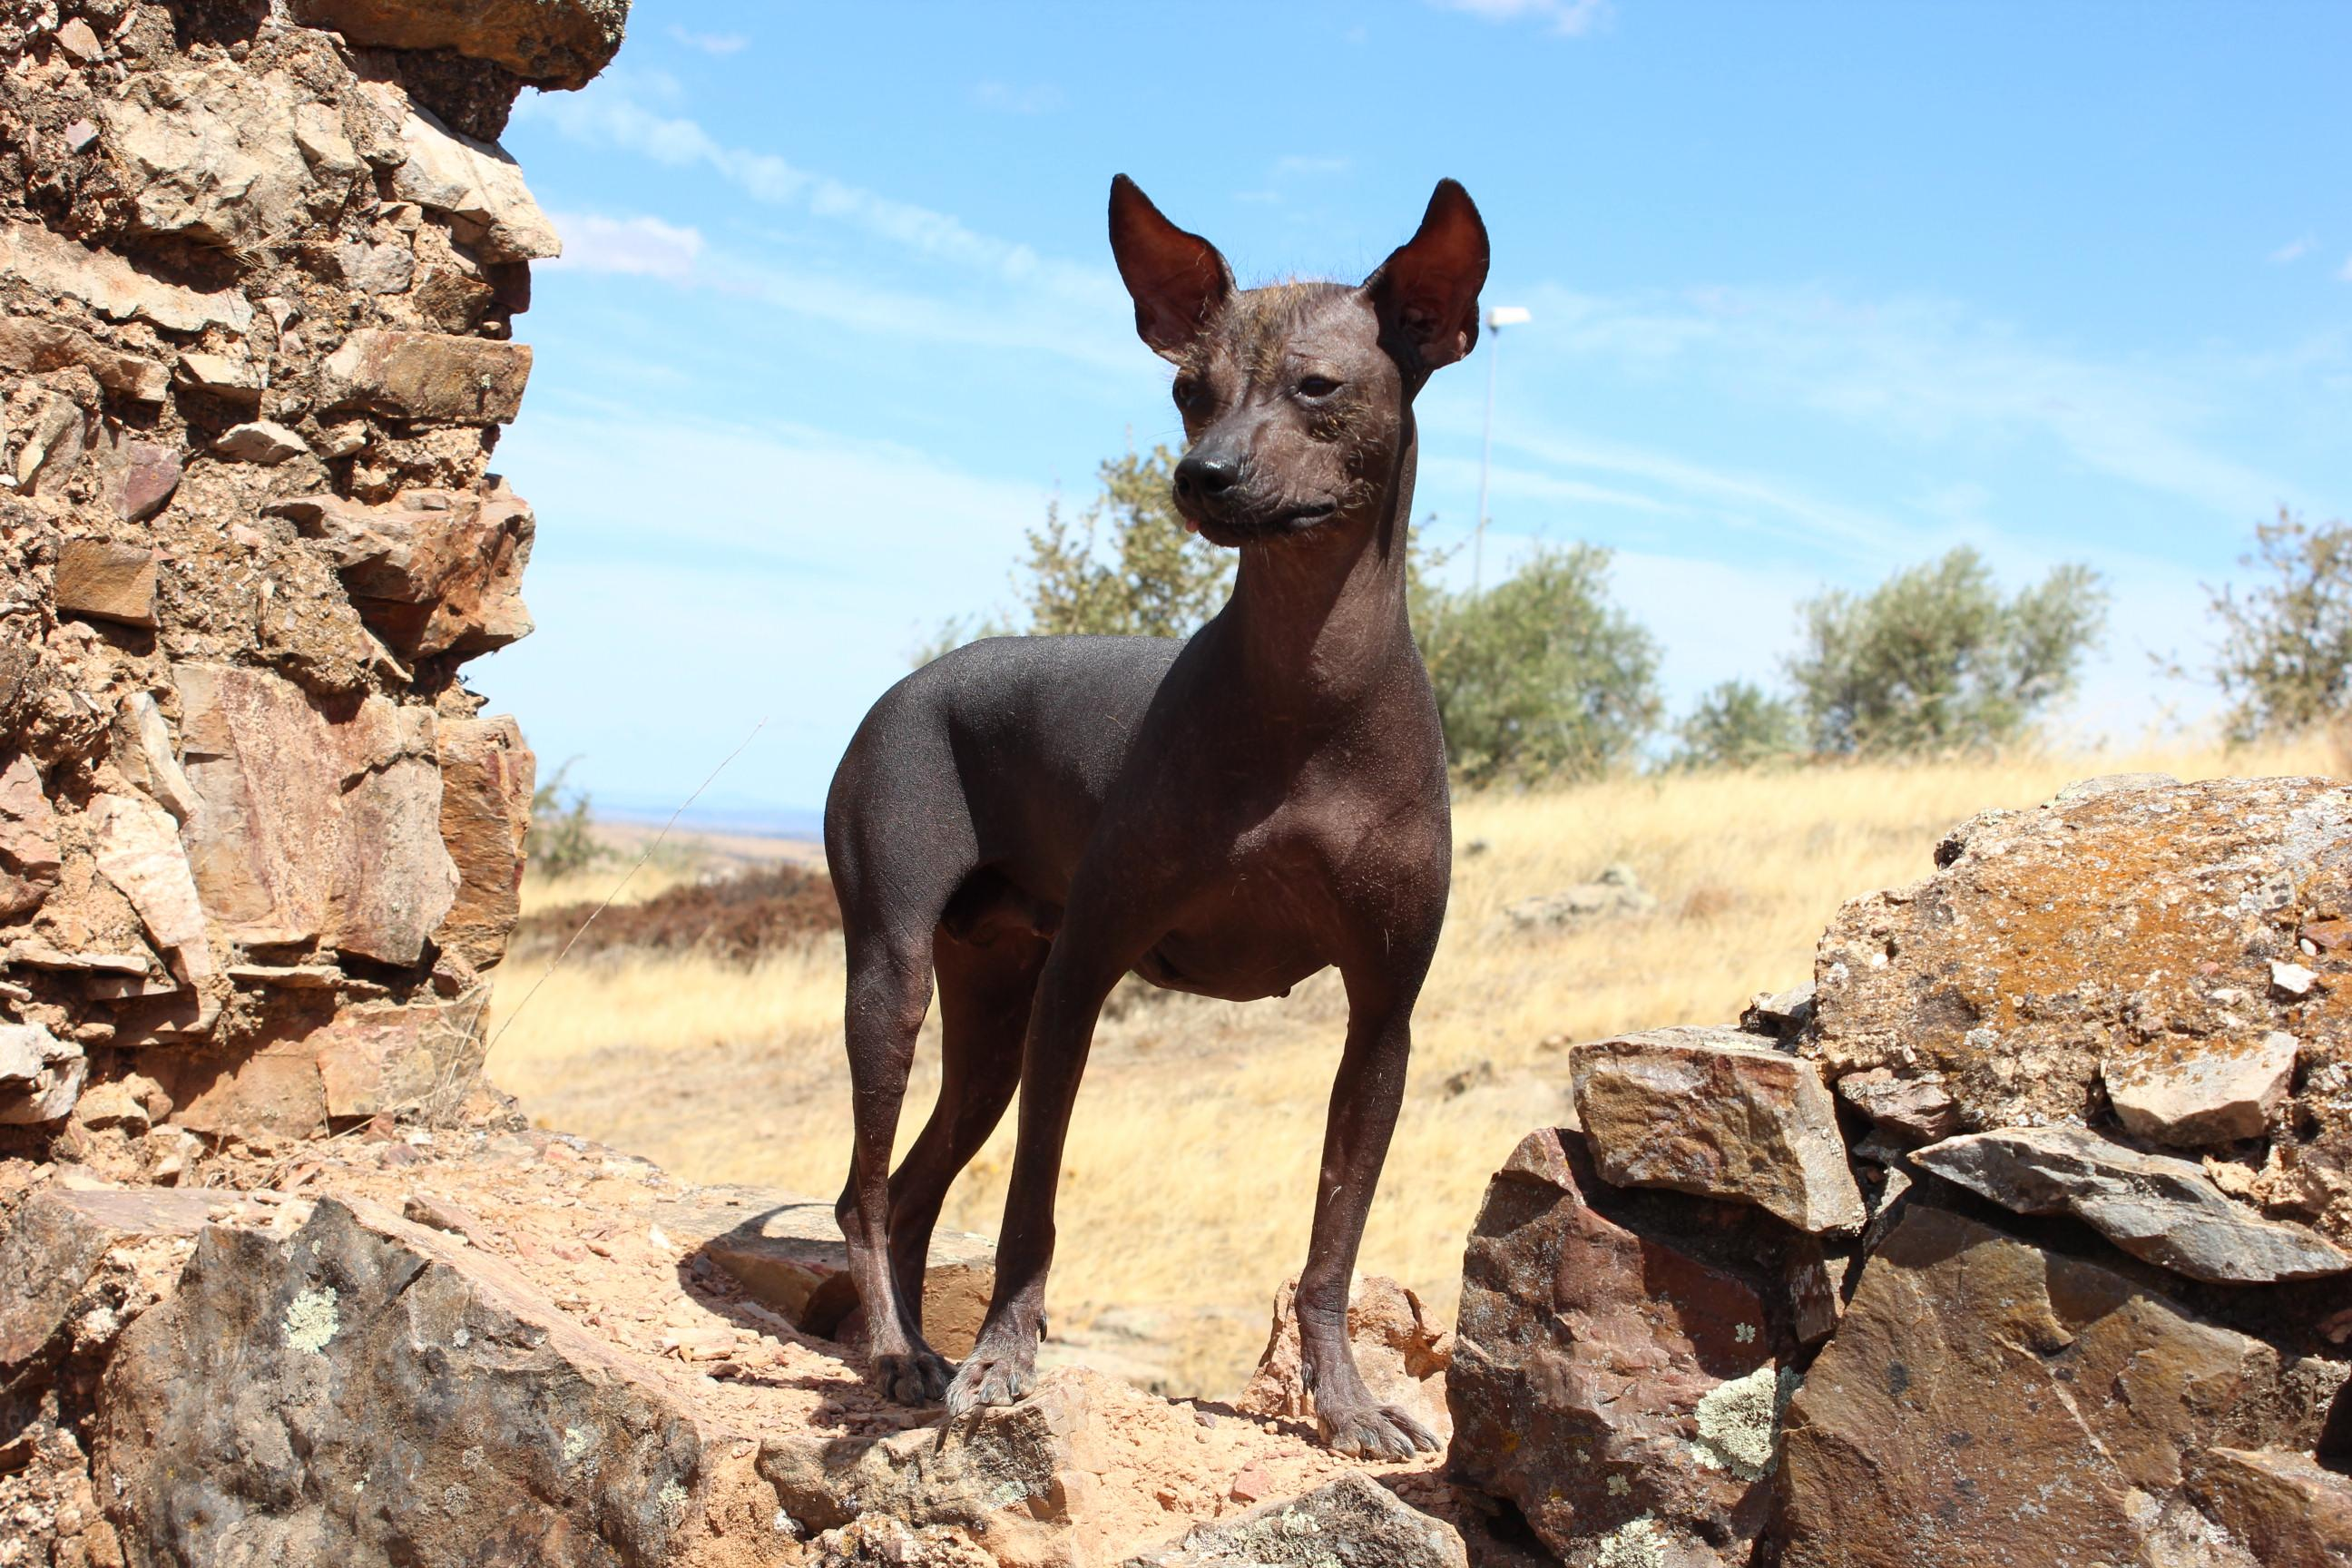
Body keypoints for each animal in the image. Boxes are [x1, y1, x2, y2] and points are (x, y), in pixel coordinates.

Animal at [832, 177, 1486, 1466]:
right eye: (1189, 388)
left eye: (1317, 386)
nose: (1204, 474)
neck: (1306, 691)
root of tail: (913, 685)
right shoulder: (1083, 979)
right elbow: (1032, 1206)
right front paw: (1002, 1360)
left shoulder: (1382, 1019)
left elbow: (1335, 1245)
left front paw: (1344, 1405)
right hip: (895, 978)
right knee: (868, 1190)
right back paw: (896, 1354)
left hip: (992, 1017)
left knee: (916, 1185)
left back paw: (908, 1347)